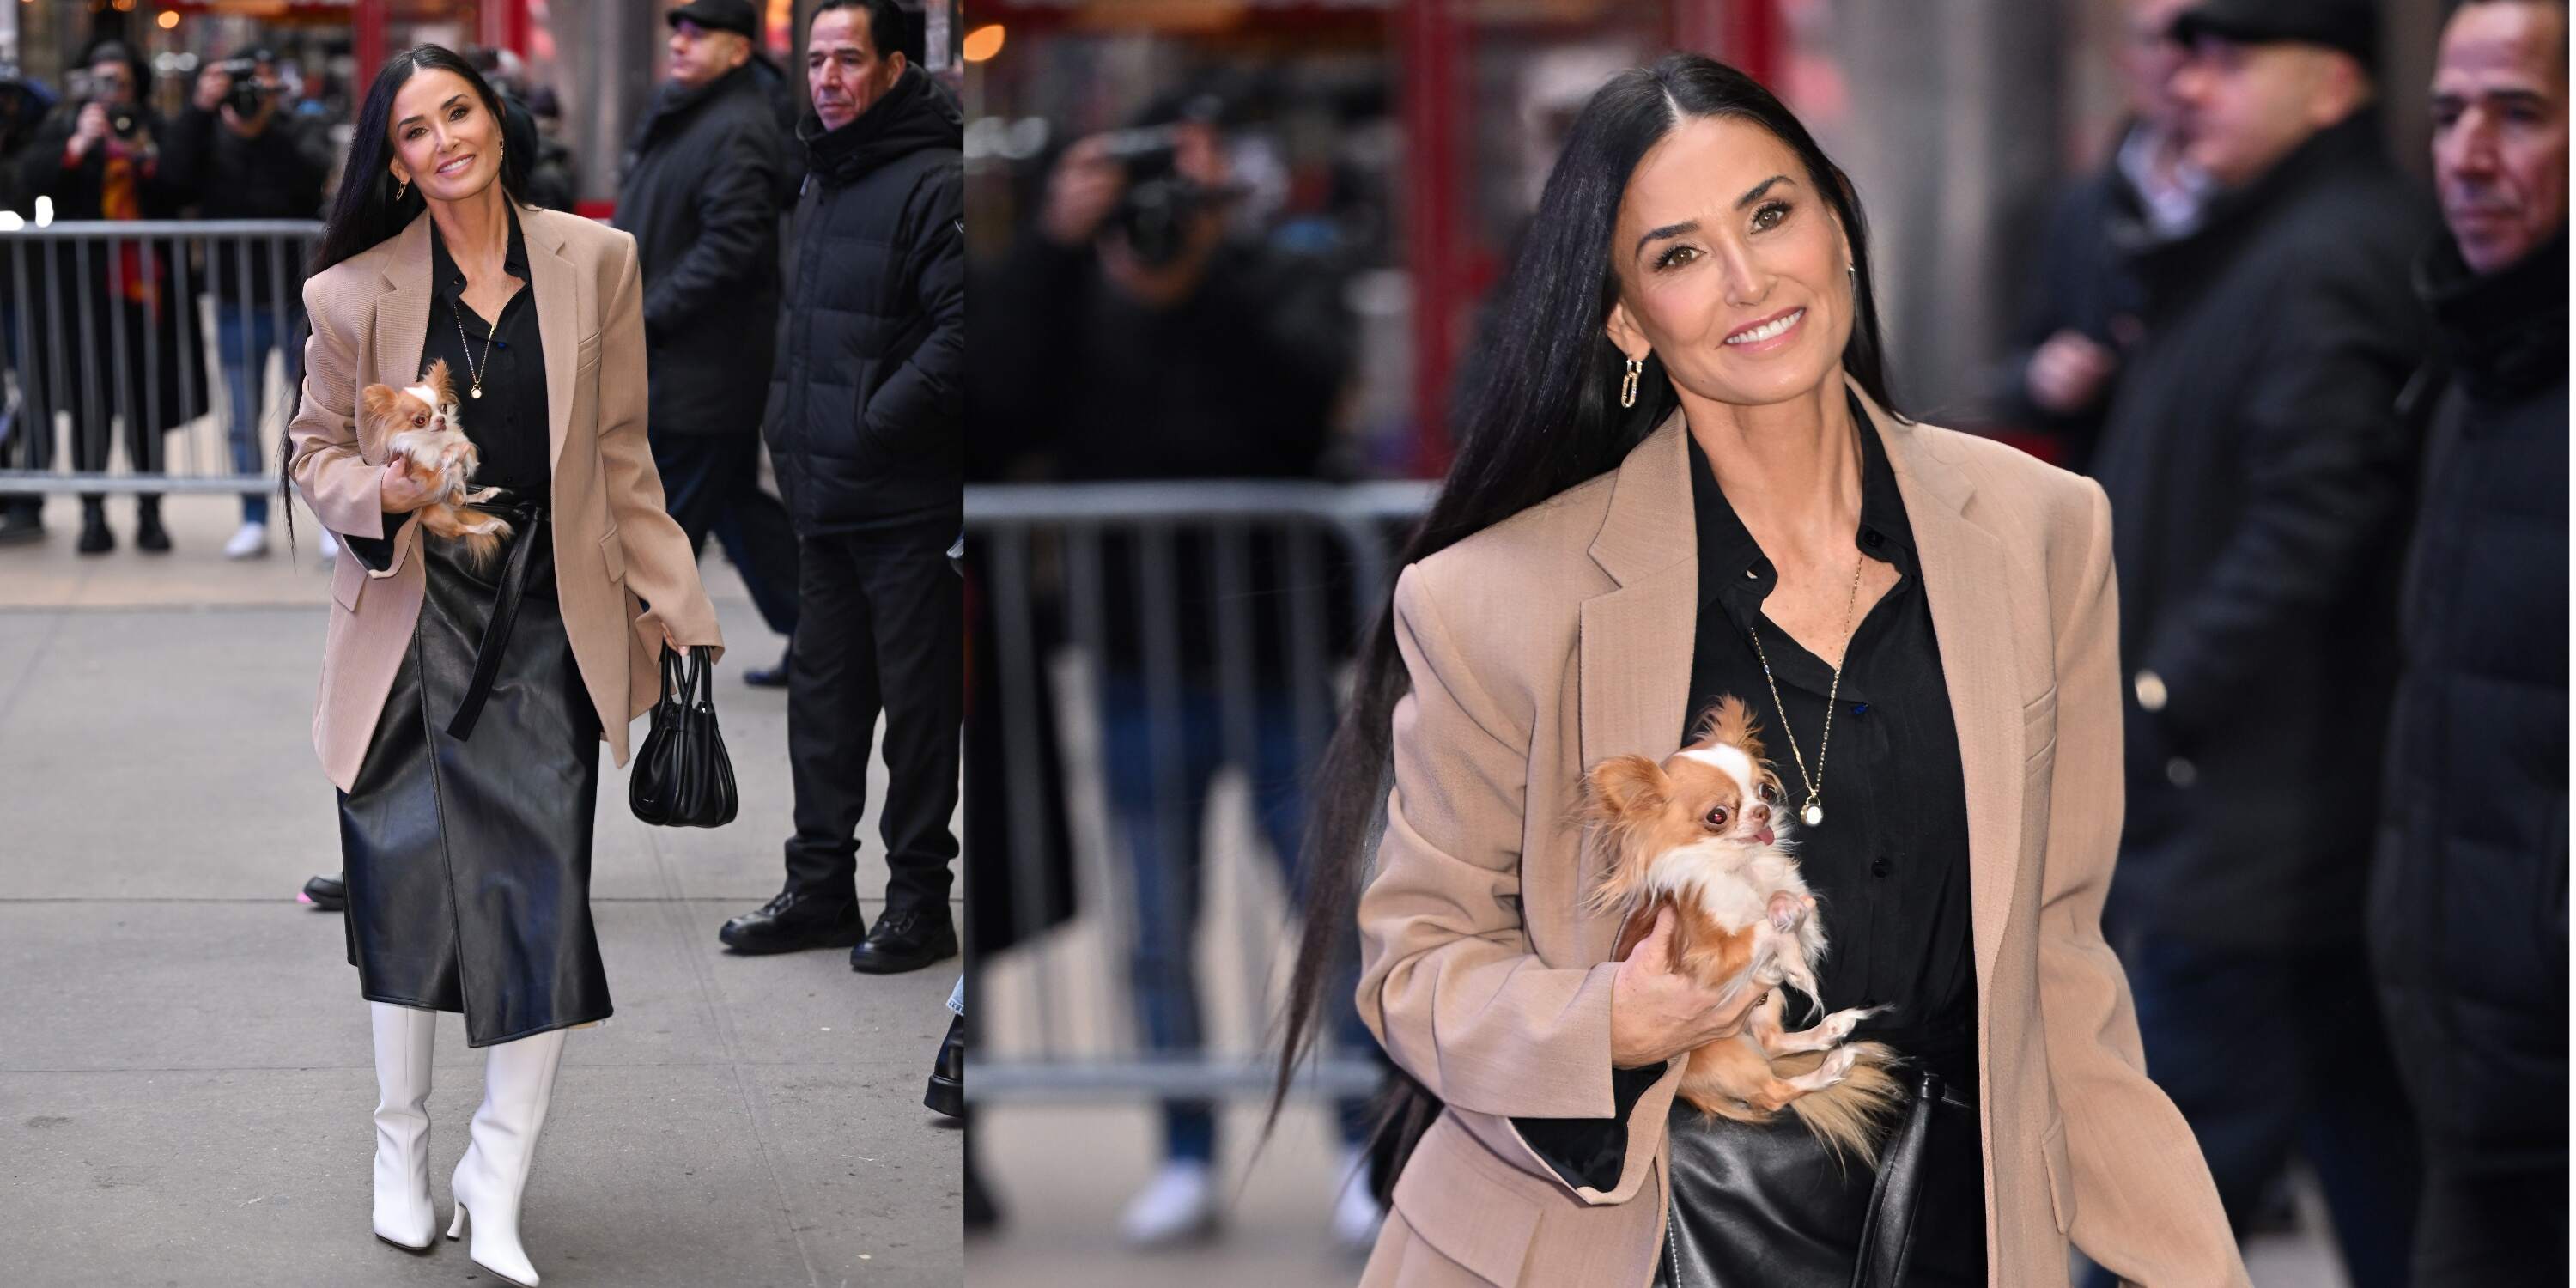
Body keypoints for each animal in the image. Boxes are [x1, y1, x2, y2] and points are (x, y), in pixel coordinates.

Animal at [363, 361, 507, 567]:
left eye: (444, 408)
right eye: (420, 420)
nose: (441, 419)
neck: (435, 441)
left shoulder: (467, 447)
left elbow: (464, 449)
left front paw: (451, 453)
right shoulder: (427, 477)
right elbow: (442, 468)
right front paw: (447, 457)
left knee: (462, 500)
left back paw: (485, 494)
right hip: (435, 513)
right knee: (459, 526)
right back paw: (488, 525)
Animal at [1577, 701, 1906, 1164]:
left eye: (1764, 792)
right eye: (1718, 816)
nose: (1762, 811)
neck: (1741, 867)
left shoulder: (1798, 905)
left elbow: (1790, 908)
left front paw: (1791, 940)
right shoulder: (1706, 958)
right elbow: (1761, 928)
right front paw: (1792, 958)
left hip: (1765, 1008)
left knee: (1772, 1042)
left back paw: (1831, 1030)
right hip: (1729, 1051)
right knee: (1772, 1091)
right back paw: (1831, 1068)